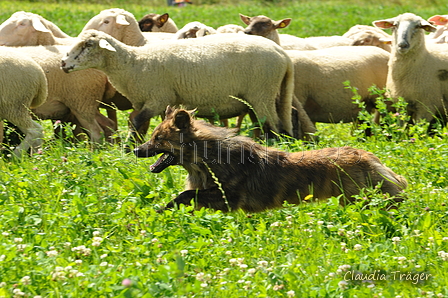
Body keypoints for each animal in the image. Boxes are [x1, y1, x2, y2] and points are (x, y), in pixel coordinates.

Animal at [59, 30, 298, 142]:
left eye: (88, 45)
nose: (63, 63)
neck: (133, 63)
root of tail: (283, 55)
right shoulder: (150, 101)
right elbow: (143, 124)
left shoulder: (158, 98)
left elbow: (135, 122)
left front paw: (127, 148)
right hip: (260, 96)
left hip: (262, 92)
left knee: (274, 126)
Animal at [133, 106, 406, 213]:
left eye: (158, 139)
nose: (136, 150)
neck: (207, 155)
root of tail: (369, 157)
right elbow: (184, 197)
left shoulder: (228, 197)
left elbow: (185, 195)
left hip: (361, 199)